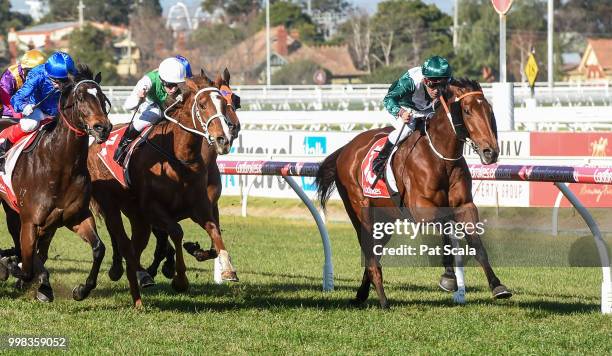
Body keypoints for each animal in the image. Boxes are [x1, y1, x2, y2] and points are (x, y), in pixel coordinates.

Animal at [0, 65, 112, 302]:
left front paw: (81, 290)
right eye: (80, 98)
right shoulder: (30, 221)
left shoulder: (76, 216)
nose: (103, 127)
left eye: (102, 98)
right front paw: (11, 265)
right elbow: (27, 265)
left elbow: (99, 249)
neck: (59, 165)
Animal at [87, 71, 238, 306]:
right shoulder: (153, 208)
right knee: (118, 236)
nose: (224, 138)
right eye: (202, 105)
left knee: (133, 242)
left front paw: (227, 269)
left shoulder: (202, 207)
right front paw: (180, 278)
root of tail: (95, 143)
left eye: (229, 102)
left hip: (134, 213)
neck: (178, 157)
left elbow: (214, 232)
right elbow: (176, 232)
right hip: (111, 204)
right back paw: (127, 271)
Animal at [316, 78, 512, 308]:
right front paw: (448, 277)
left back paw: (361, 295)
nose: (491, 152)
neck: (441, 157)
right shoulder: (422, 210)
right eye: (467, 110)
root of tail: (345, 148)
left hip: (385, 219)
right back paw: (383, 301)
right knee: (370, 253)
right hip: (360, 211)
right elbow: (446, 227)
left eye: (489, 110)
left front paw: (498, 286)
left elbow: (476, 243)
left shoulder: (465, 206)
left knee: (374, 252)